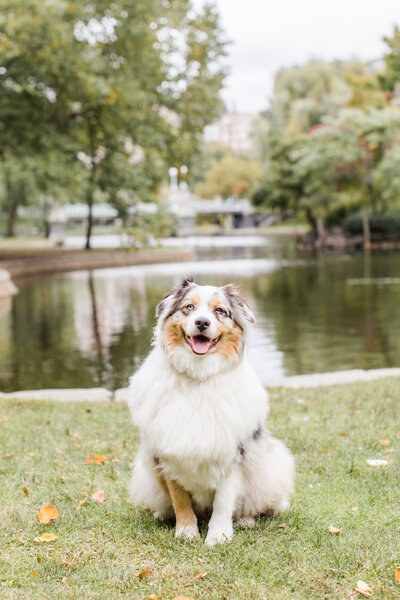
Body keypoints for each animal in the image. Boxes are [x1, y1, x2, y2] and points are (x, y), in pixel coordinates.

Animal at [128, 278, 294, 548]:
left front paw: (219, 536)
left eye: (219, 311)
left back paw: (246, 519)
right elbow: (180, 498)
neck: (199, 376)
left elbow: (224, 502)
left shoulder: (233, 455)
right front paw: (186, 531)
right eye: (189, 307)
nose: (202, 323)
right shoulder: (167, 453)